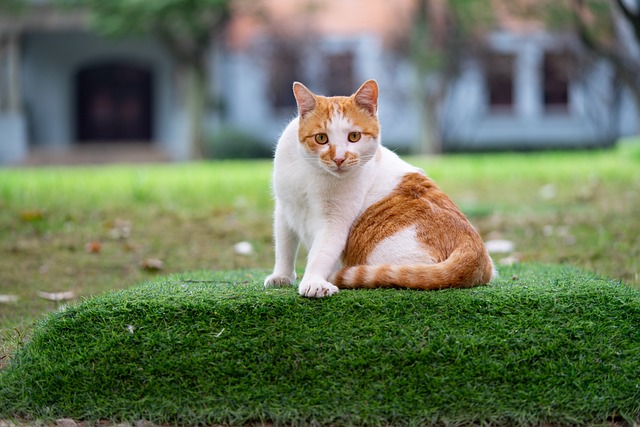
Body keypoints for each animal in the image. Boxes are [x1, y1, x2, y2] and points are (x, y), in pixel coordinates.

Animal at [264, 81, 496, 300]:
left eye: (354, 136)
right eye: (321, 138)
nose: (339, 158)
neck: (311, 171)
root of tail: (476, 250)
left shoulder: (334, 221)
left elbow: (321, 253)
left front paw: (313, 281)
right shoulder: (284, 209)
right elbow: (284, 247)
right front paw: (281, 276)